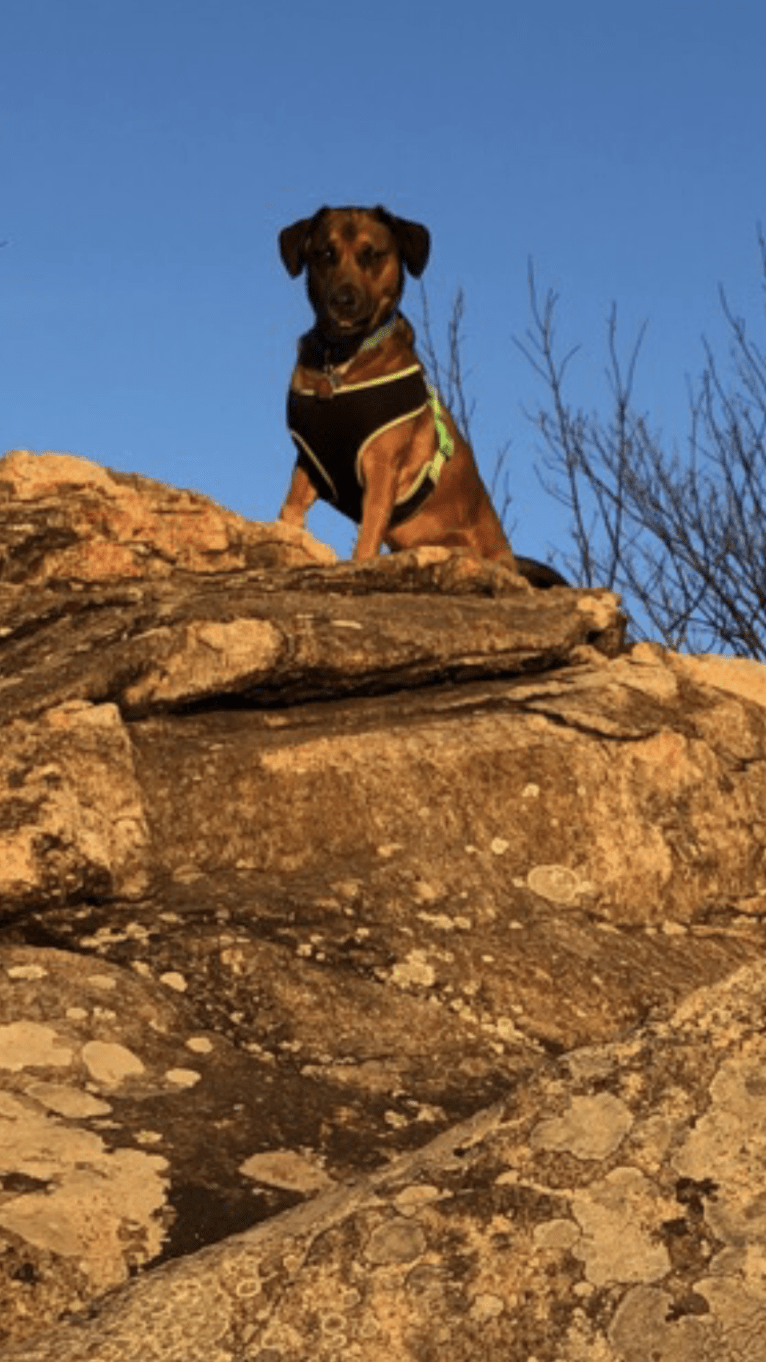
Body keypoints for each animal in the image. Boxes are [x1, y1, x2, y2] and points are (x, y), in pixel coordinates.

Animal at [276, 201, 515, 563]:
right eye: (326, 253)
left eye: (373, 255)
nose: (342, 301)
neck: (342, 358)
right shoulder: (308, 463)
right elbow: (289, 510)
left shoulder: (382, 468)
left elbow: (366, 540)